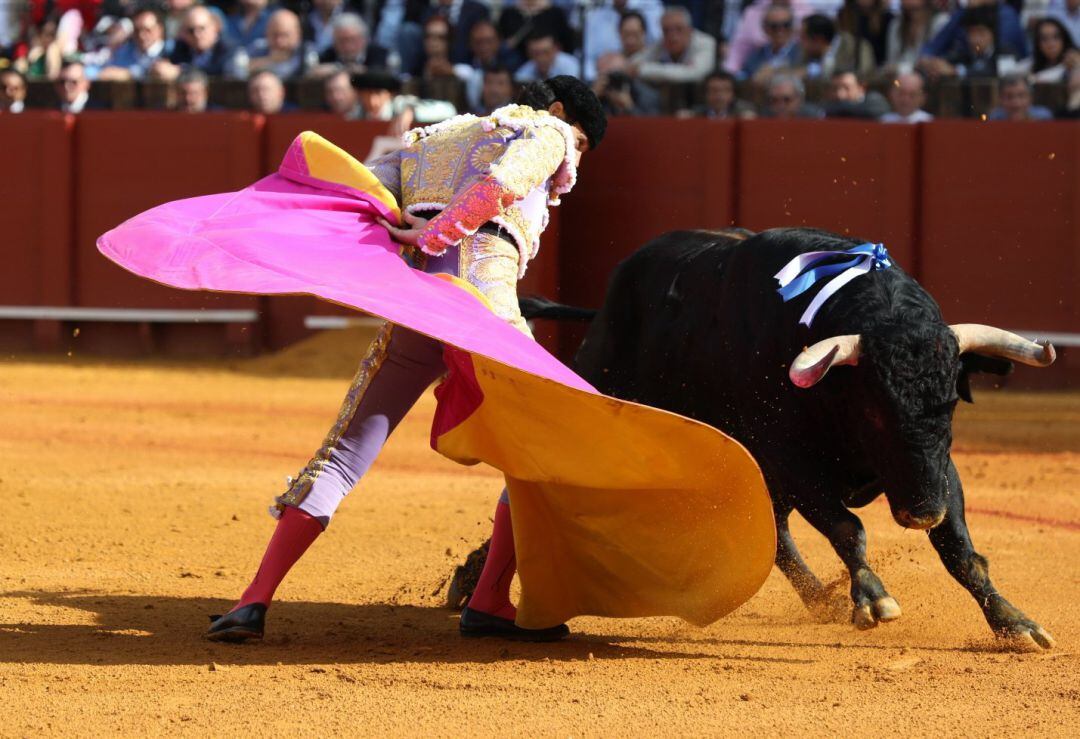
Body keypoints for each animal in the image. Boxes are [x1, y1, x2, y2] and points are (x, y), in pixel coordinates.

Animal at [447, 227, 1054, 648]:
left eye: (949, 403)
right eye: (876, 410)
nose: (921, 513)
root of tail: (608, 305)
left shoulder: (935, 466)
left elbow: (960, 550)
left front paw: (1015, 624)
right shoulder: (792, 461)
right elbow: (849, 528)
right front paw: (874, 599)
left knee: (778, 537)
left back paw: (821, 600)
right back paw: (472, 586)